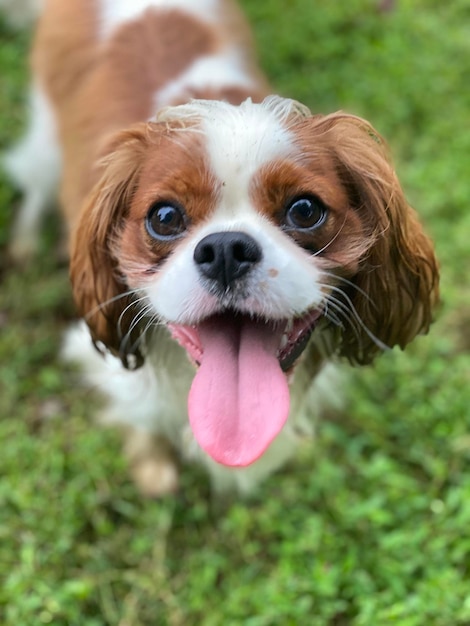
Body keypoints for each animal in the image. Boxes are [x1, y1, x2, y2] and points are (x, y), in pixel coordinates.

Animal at [3, 1, 438, 498]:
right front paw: (152, 465)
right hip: (44, 135)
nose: (227, 249)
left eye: (305, 209)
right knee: (35, 183)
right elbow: (140, 414)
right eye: (165, 217)